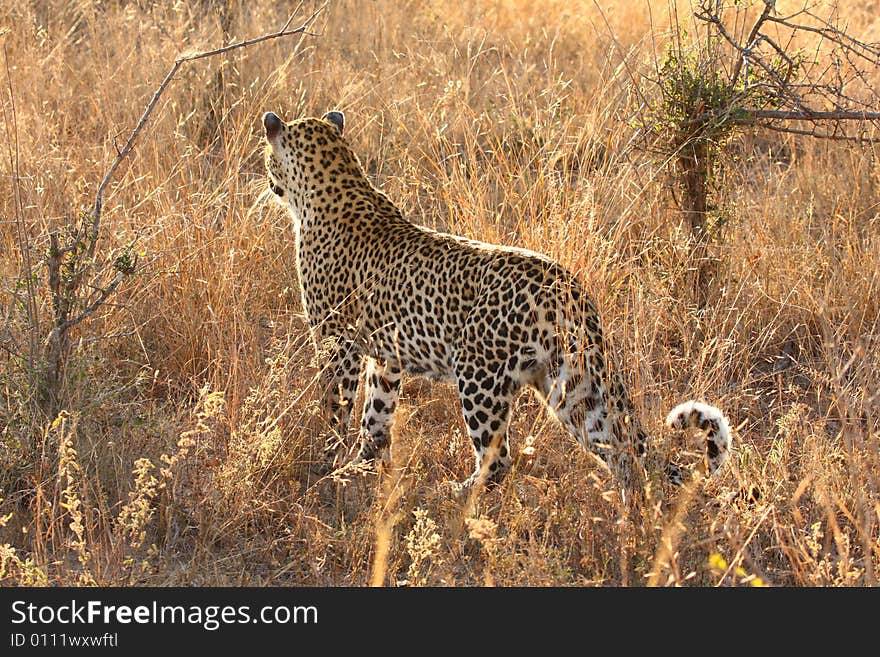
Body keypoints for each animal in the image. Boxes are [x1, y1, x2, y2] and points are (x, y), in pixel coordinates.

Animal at [260, 110, 728, 494]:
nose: (267, 181)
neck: (335, 183)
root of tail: (568, 286)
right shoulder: (385, 356)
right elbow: (376, 415)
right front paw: (363, 463)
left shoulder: (337, 342)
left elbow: (335, 404)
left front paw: (330, 460)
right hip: (572, 386)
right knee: (624, 452)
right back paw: (631, 516)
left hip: (478, 372)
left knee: (499, 459)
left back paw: (452, 494)